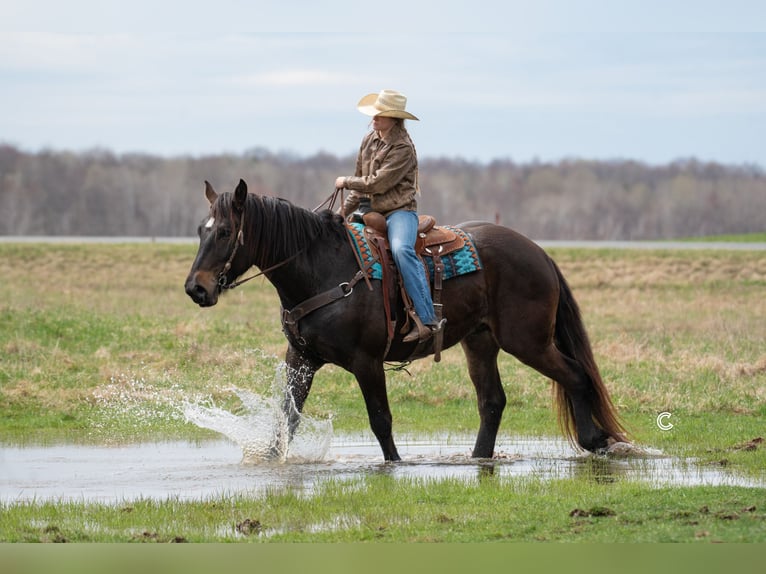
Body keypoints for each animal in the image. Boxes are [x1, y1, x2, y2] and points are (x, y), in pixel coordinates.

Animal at [188, 180, 632, 464]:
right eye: (199, 230)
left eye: (225, 232)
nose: (196, 288)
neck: (322, 269)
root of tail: (539, 252)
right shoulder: (301, 359)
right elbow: (287, 417)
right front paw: (271, 459)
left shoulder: (366, 362)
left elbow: (380, 420)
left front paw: (395, 463)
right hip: (481, 342)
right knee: (492, 401)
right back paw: (479, 458)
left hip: (528, 341)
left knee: (575, 376)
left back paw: (595, 441)